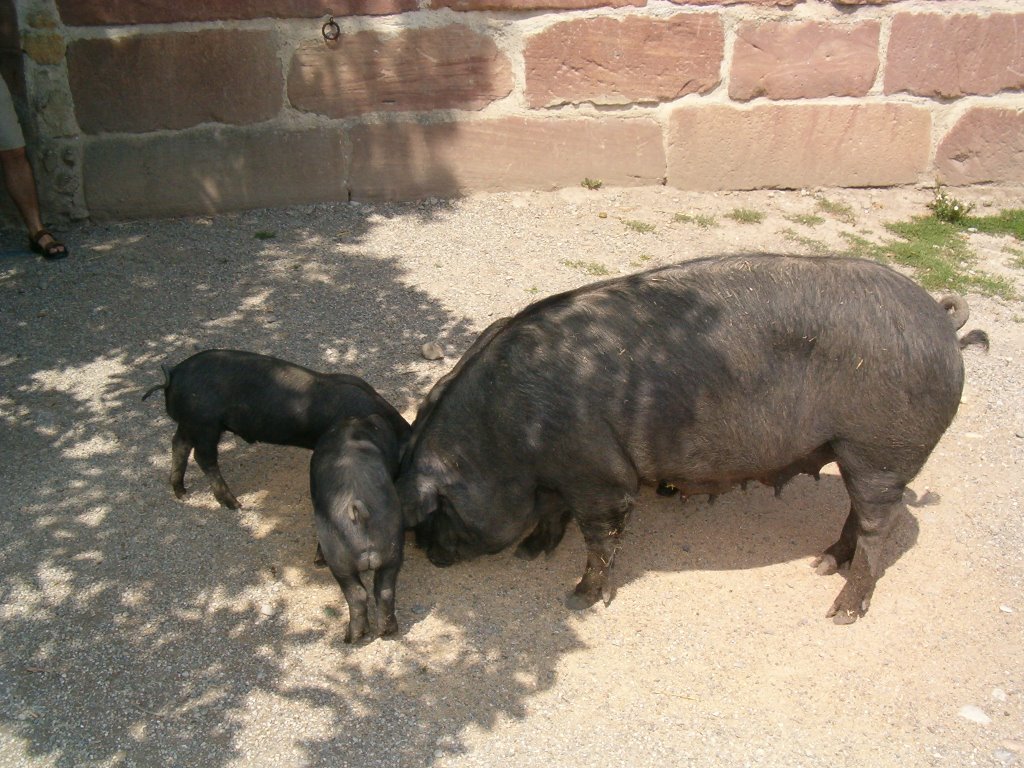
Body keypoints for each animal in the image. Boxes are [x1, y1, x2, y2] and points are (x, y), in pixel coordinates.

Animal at [141, 352, 411, 514]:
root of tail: (173, 375)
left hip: (190, 423)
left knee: (179, 444)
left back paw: (182, 494)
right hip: (204, 423)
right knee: (203, 457)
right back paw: (235, 505)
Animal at [395, 257, 987, 626]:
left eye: (436, 512)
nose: (427, 554)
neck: (506, 437)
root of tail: (942, 322)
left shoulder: (602, 479)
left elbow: (600, 538)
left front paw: (579, 600)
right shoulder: (564, 477)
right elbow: (554, 517)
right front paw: (529, 553)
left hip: (882, 451)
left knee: (878, 527)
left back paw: (839, 611)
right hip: (857, 452)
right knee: (855, 516)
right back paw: (821, 563)